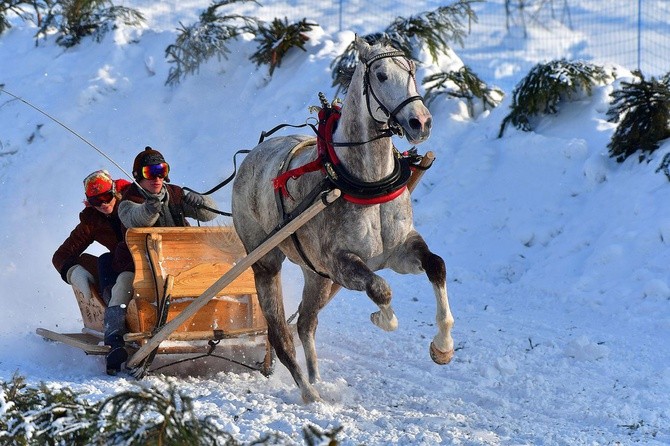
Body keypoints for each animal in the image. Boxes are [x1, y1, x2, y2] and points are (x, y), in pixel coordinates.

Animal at [234, 36, 460, 402]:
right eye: (381, 75)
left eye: (412, 70)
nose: (421, 122)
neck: (363, 181)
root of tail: (252, 155)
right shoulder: (342, 263)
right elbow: (381, 289)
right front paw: (382, 319)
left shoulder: (399, 251)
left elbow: (436, 265)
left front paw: (443, 346)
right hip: (267, 262)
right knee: (281, 334)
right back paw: (309, 393)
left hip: (316, 274)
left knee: (305, 323)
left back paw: (317, 379)